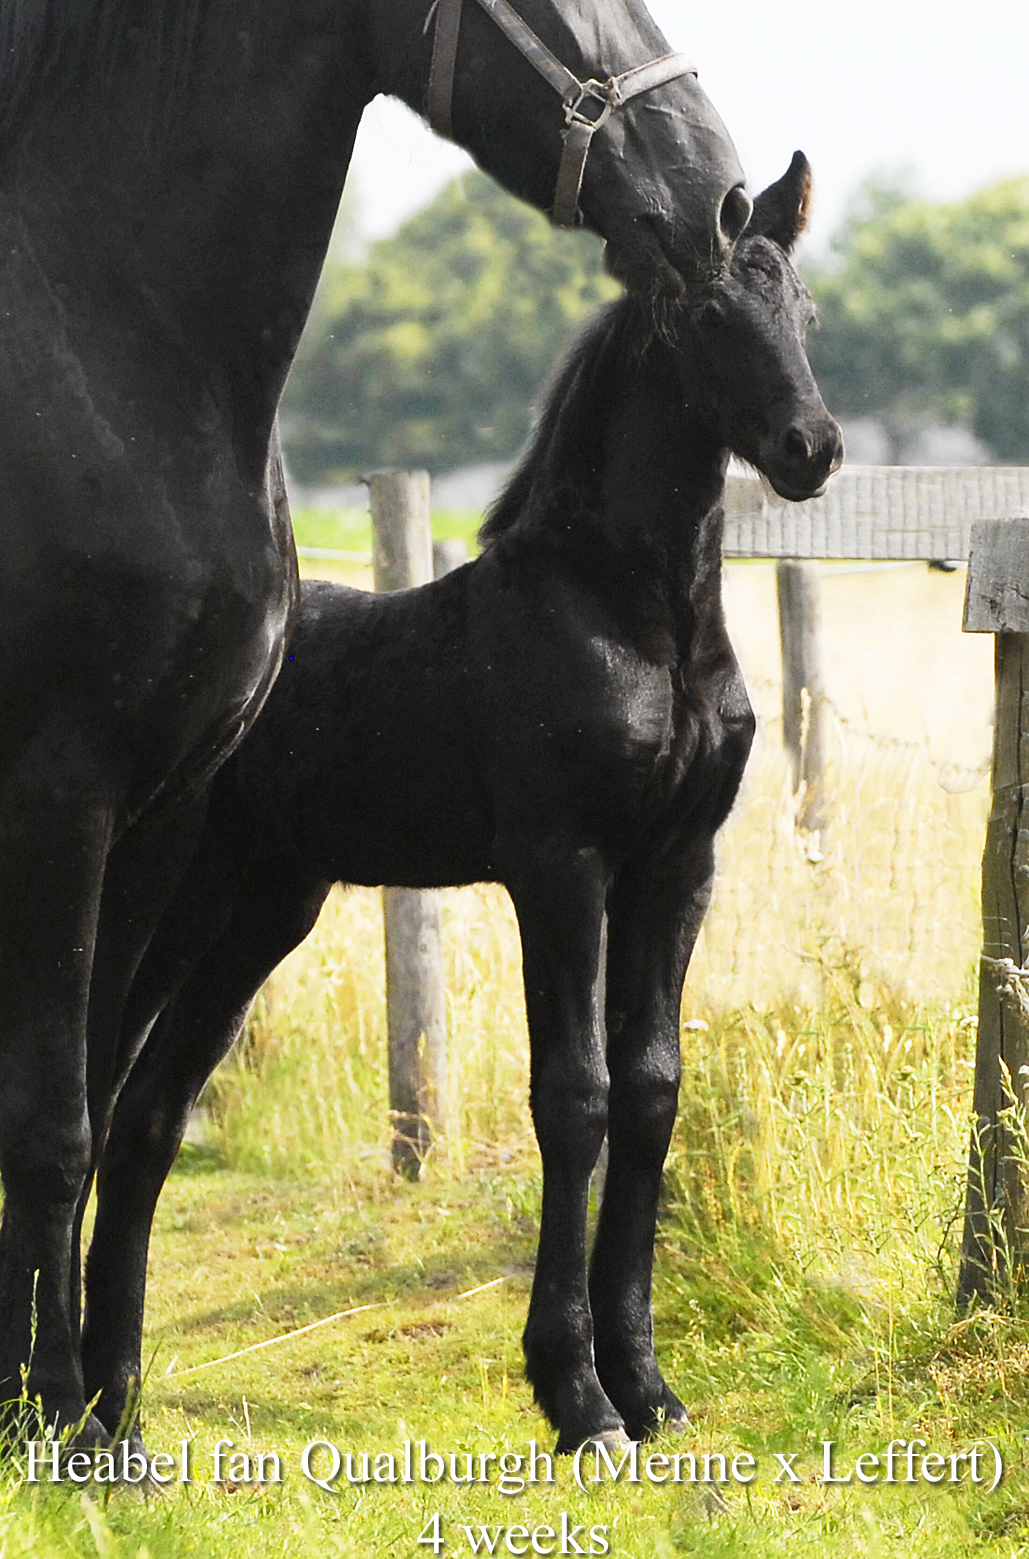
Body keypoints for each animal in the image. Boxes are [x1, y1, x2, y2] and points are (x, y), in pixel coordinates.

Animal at [0, 0, 752, 1442]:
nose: (714, 191)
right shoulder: (61, 794)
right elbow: (51, 1118)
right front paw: (55, 1419)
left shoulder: (158, 806)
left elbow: (86, 1100)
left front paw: (85, 1422)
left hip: (248, 899)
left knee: (144, 1101)